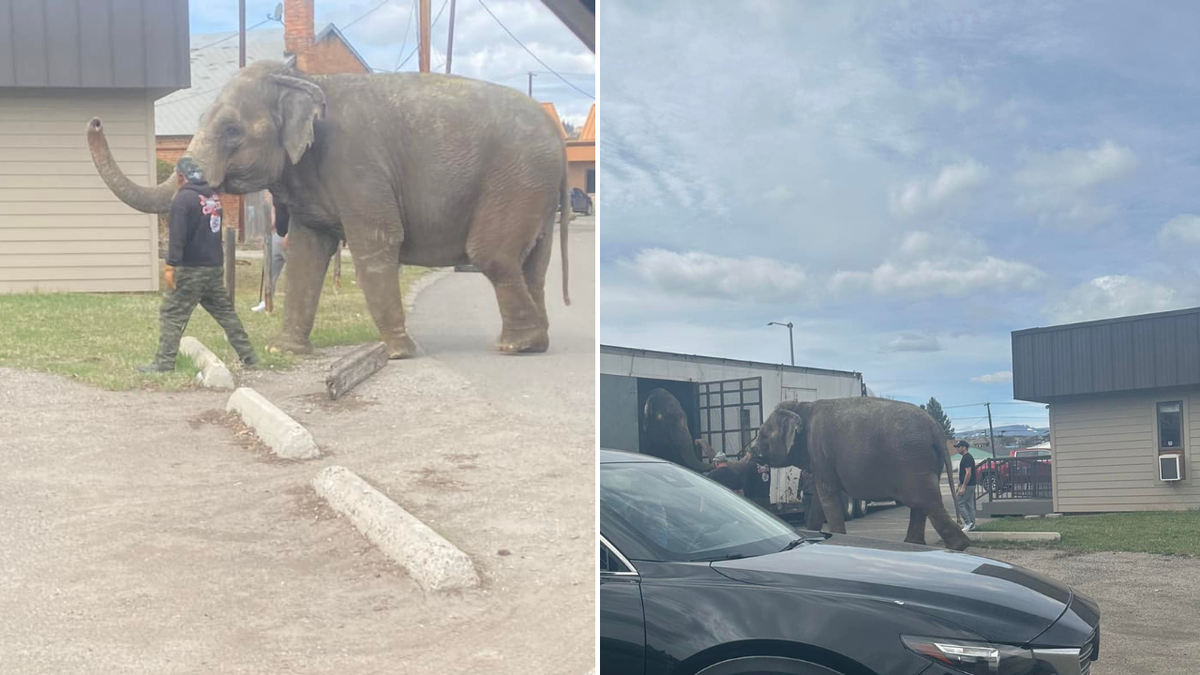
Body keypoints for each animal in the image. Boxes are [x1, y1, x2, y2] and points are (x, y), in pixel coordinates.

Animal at [88, 61, 566, 357]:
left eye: (231, 130)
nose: (94, 121)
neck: (305, 76)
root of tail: (558, 141)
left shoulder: (358, 164)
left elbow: (377, 241)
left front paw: (398, 353)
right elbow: (305, 250)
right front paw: (283, 350)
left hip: (516, 179)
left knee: (494, 256)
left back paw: (514, 346)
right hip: (532, 191)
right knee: (532, 265)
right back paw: (535, 343)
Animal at [748, 396, 974, 550]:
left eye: (762, 433)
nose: (751, 451)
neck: (803, 406)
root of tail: (935, 427)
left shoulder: (820, 451)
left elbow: (827, 495)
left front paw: (837, 537)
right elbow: (820, 499)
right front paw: (812, 532)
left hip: (913, 460)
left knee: (925, 502)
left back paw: (958, 545)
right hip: (926, 462)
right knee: (921, 504)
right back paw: (913, 544)